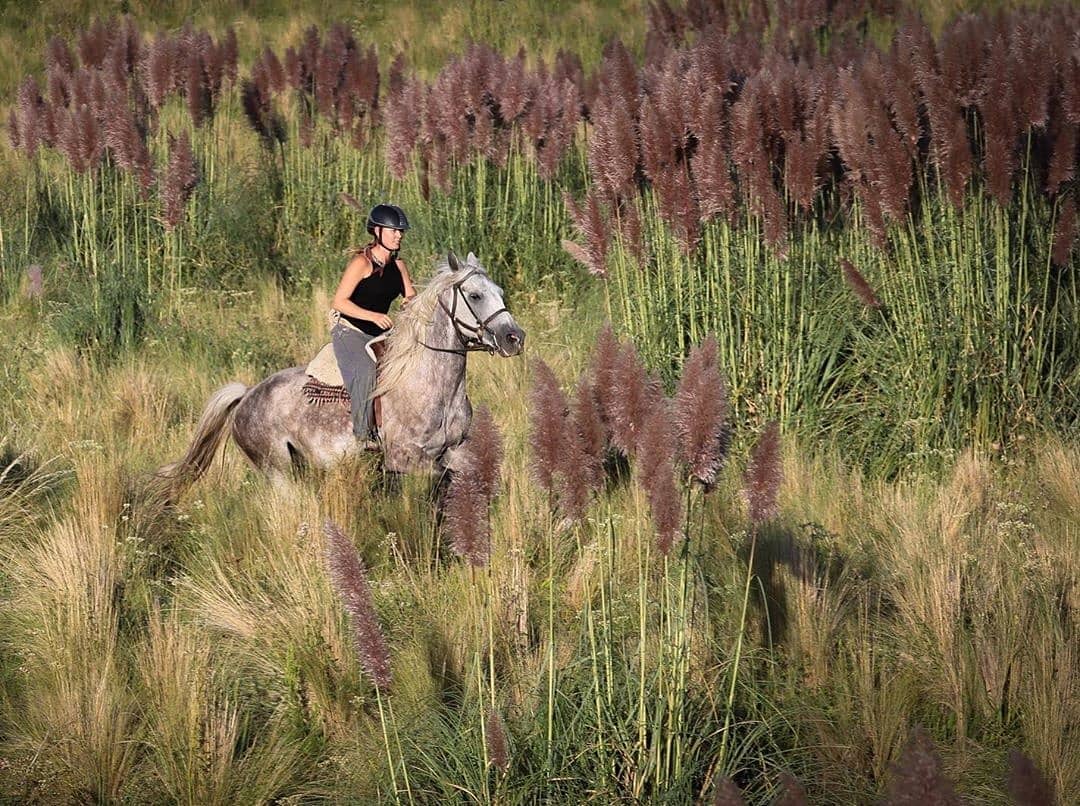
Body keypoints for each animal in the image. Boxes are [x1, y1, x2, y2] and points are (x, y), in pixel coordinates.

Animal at [157, 250, 524, 490]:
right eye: (475, 295)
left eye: (500, 292)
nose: (515, 338)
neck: (432, 386)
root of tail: (247, 396)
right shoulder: (408, 462)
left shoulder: (456, 452)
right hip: (279, 473)